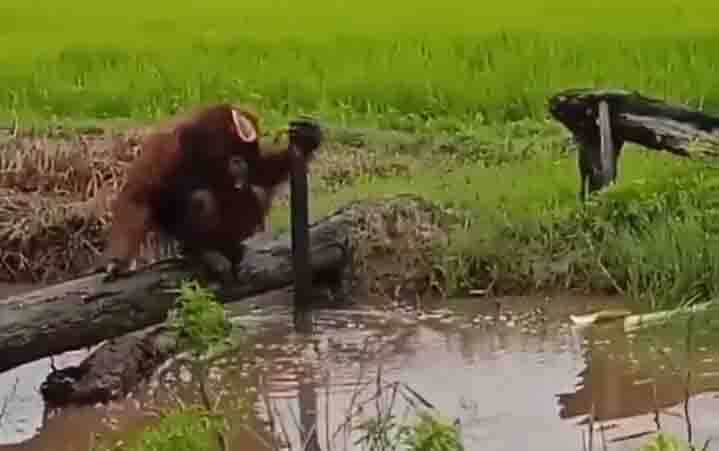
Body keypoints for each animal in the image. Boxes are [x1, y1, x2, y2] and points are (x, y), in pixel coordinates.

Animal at [99, 103, 322, 283]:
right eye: (234, 153)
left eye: (242, 154)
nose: (239, 164)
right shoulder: (165, 148)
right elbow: (138, 196)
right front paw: (117, 264)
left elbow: (260, 171)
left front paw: (307, 140)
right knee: (202, 200)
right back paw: (202, 250)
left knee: (256, 193)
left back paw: (231, 247)